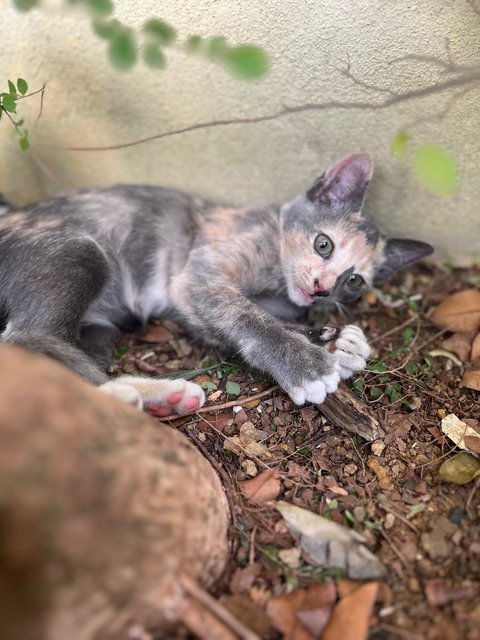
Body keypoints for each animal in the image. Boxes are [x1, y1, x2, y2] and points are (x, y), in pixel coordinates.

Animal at [0, 154, 432, 416]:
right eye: (323, 243)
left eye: (354, 281)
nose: (323, 288)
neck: (275, 278)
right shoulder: (196, 277)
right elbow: (247, 317)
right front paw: (305, 364)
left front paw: (336, 340)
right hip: (82, 251)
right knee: (26, 341)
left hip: (98, 331)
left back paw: (158, 398)